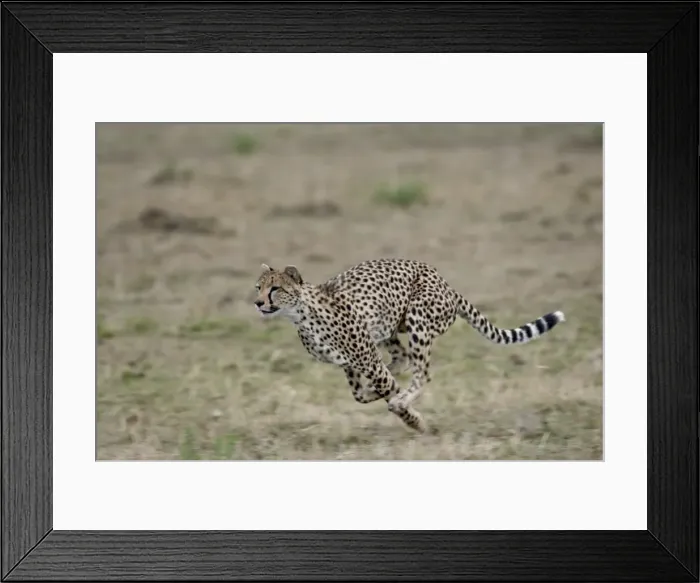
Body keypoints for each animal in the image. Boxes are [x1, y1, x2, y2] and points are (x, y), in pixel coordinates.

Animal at [253, 258, 565, 434]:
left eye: (275, 289)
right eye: (258, 287)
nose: (257, 302)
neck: (301, 314)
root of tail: (445, 282)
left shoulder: (366, 358)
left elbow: (387, 390)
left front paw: (414, 420)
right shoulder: (350, 363)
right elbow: (360, 394)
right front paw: (383, 396)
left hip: (418, 319)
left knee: (422, 372)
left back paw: (403, 397)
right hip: (390, 325)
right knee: (401, 359)